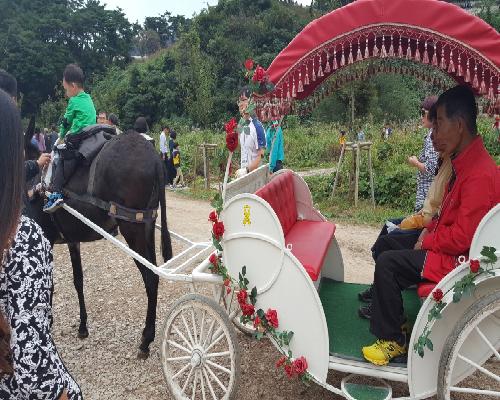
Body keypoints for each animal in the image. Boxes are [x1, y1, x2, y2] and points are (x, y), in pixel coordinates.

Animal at [25, 129, 172, 360]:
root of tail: (154, 156)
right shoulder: (72, 240)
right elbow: (78, 280)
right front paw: (83, 326)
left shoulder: (43, 239)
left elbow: (48, 284)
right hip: (146, 226)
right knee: (154, 274)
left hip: (132, 229)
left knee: (150, 277)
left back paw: (146, 339)